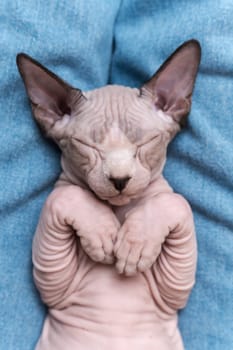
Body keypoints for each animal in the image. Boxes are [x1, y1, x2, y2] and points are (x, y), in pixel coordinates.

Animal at [17, 39, 201, 350]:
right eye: (87, 146)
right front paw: (103, 234)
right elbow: (64, 195)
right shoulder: (53, 287)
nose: (119, 179)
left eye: (145, 143)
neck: (120, 210)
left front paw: (134, 246)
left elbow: (174, 200)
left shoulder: (174, 294)